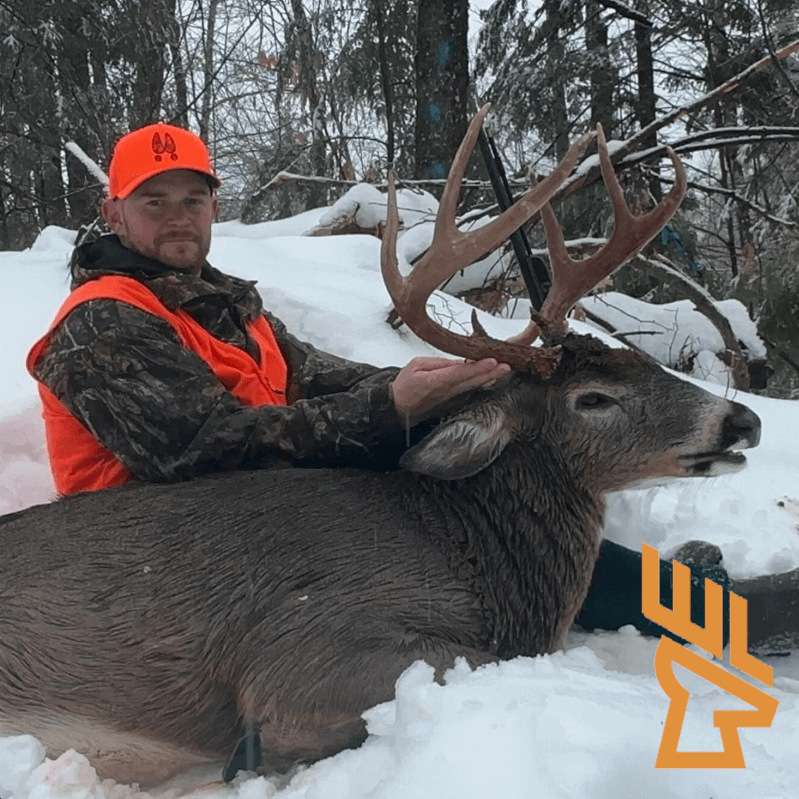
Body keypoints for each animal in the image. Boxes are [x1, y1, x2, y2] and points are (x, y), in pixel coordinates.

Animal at [0, 105, 760, 787]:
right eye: (593, 398)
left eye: (644, 363)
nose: (743, 421)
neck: (478, 555)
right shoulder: (308, 648)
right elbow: (459, 664)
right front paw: (257, 759)